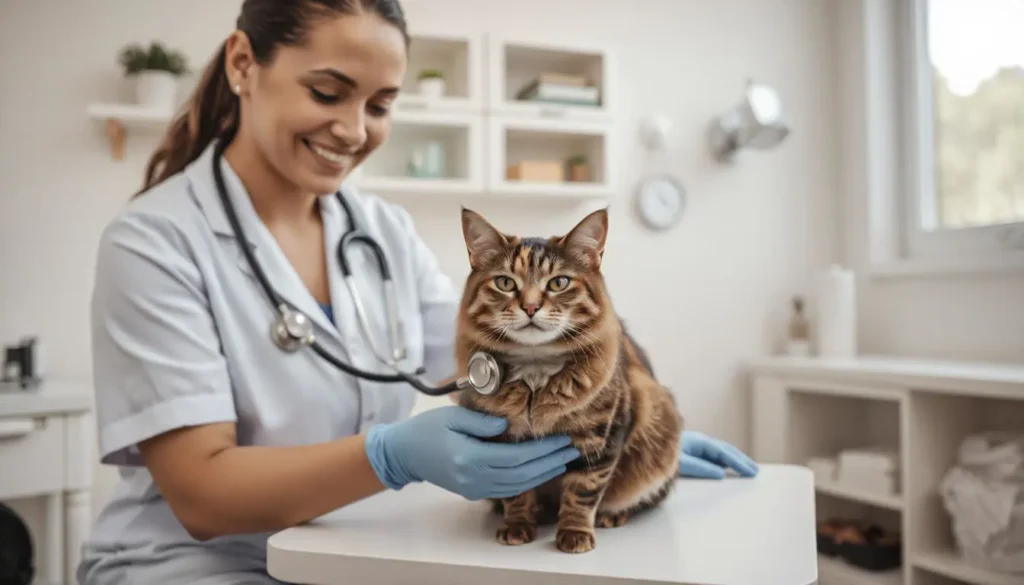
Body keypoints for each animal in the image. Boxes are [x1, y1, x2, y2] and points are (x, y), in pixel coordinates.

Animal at [454, 206, 679, 553]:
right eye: (505, 282)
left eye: (558, 282)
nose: (530, 306)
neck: (535, 370)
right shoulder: (505, 449)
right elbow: (516, 492)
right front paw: (517, 525)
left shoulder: (600, 439)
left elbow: (583, 491)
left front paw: (575, 533)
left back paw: (612, 516)